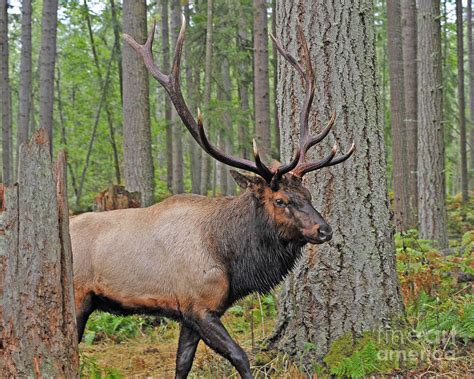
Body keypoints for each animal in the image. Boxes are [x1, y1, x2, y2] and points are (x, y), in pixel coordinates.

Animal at [69, 17, 352, 379]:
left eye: (308, 193)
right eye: (280, 201)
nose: (324, 230)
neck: (232, 257)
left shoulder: (189, 312)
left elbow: (182, 363)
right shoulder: (200, 305)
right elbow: (240, 356)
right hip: (77, 298)